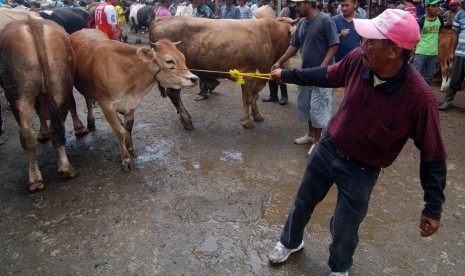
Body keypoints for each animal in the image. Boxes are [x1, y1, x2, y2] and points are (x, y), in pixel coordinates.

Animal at [0, 20, 77, 192]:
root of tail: (32, 22)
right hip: (59, 87)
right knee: (44, 132)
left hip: (21, 95)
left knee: (28, 134)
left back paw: (40, 177)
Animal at [70, 29, 197, 170]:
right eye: (169, 61)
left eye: (183, 58)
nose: (194, 79)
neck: (126, 73)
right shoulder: (106, 105)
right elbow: (119, 132)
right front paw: (125, 159)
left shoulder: (131, 103)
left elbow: (129, 127)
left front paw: (130, 148)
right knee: (87, 101)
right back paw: (90, 122)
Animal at [148, 16, 294, 129]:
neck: (269, 37)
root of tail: (162, 19)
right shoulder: (248, 77)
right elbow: (247, 99)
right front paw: (247, 121)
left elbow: (254, 97)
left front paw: (257, 115)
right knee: (173, 93)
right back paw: (187, 120)